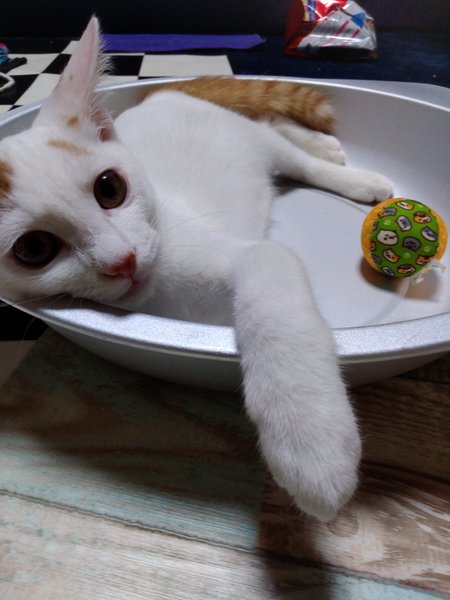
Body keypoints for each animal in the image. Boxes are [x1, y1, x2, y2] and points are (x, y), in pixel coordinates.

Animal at [0, 17, 394, 520]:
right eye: (34, 248)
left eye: (110, 188)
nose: (123, 260)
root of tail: (162, 91)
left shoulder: (255, 256)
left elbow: (275, 312)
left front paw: (312, 446)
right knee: (271, 126)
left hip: (247, 138)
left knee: (278, 141)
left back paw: (348, 171)